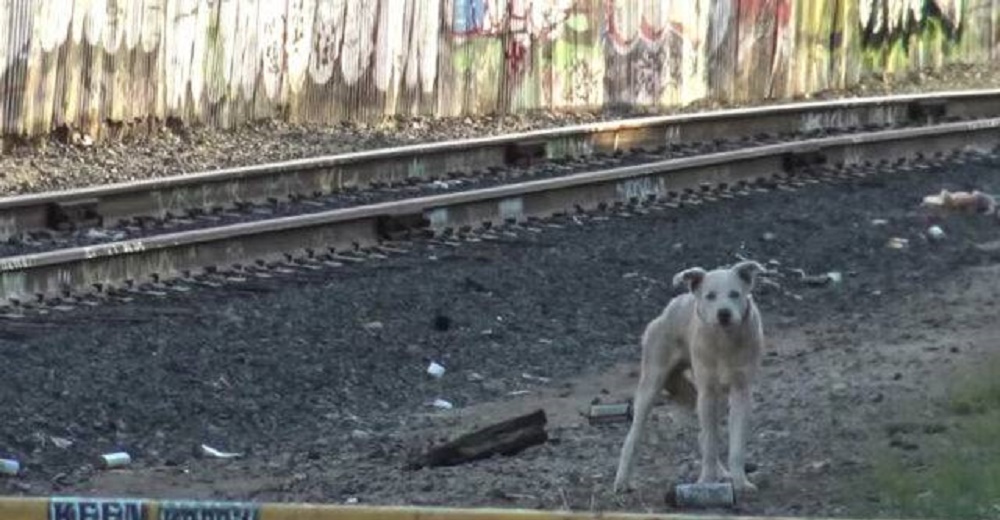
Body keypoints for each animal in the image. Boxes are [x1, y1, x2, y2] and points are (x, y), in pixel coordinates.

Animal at [608, 262, 764, 494]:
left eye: (735, 294)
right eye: (710, 296)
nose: (724, 314)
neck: (724, 341)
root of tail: (671, 306)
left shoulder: (741, 392)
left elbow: (734, 445)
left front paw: (740, 482)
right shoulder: (707, 393)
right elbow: (710, 444)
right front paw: (706, 481)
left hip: (708, 396)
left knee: (703, 435)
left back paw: (723, 473)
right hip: (651, 384)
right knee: (633, 437)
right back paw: (622, 481)